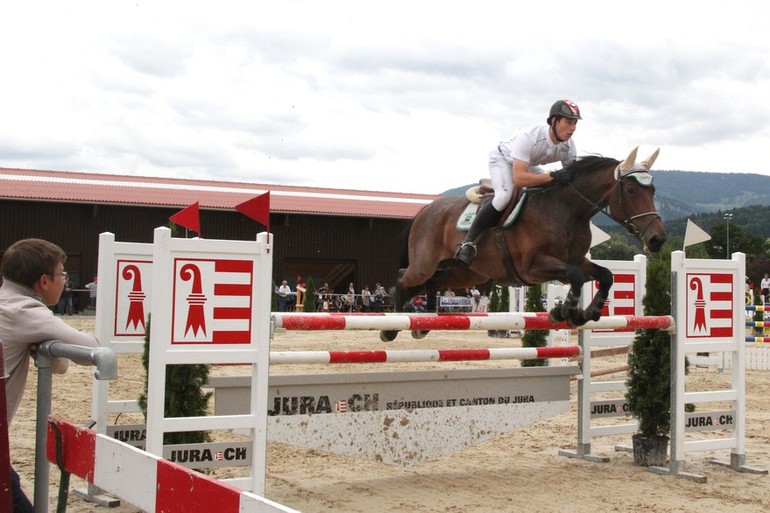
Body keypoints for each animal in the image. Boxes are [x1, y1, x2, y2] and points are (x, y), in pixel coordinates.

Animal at [380, 146, 664, 342]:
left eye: (653, 191)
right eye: (631, 190)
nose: (657, 239)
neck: (566, 210)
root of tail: (425, 210)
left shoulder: (575, 260)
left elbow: (605, 275)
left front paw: (588, 312)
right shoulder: (533, 267)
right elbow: (576, 277)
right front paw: (564, 311)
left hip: (464, 273)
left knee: (432, 284)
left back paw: (422, 324)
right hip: (425, 264)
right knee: (404, 277)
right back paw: (392, 326)